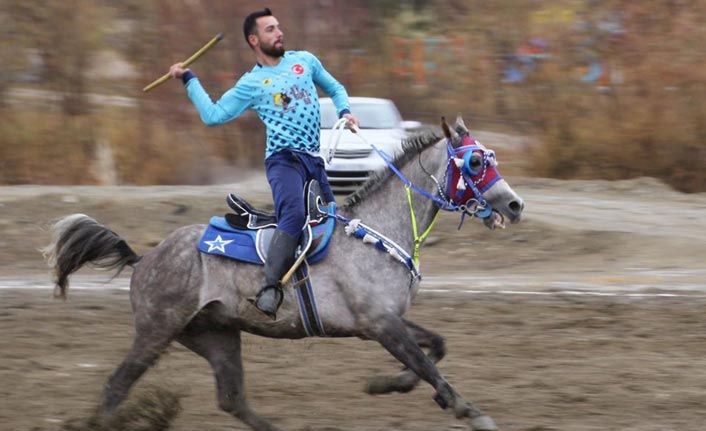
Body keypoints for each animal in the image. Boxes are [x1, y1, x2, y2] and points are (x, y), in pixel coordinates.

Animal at [42, 115, 516, 431]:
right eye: (475, 163)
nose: (515, 204)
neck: (376, 231)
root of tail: (145, 259)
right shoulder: (380, 324)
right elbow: (426, 363)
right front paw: (470, 411)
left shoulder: (388, 322)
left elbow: (435, 348)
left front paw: (387, 384)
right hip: (157, 332)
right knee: (116, 385)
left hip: (215, 335)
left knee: (231, 399)